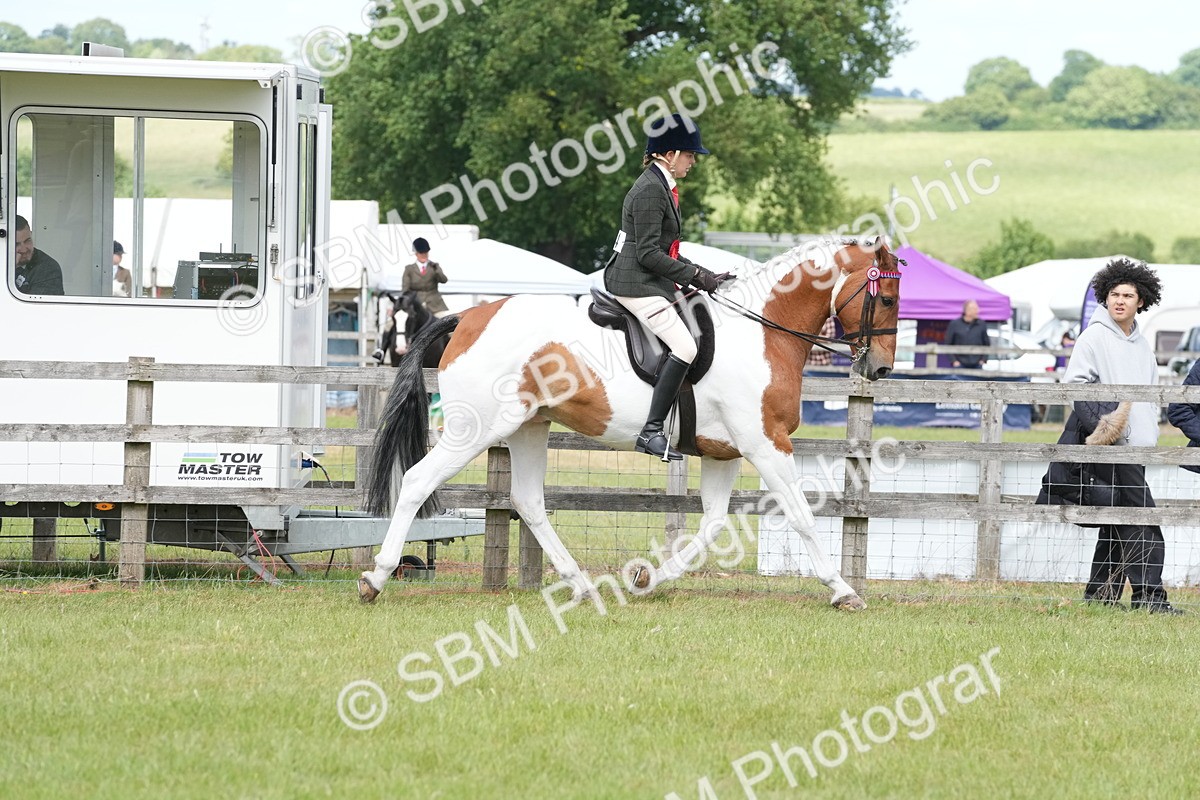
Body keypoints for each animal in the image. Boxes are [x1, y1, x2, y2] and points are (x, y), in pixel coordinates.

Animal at [360, 238, 903, 609]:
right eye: (888, 298)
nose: (880, 369)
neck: (762, 332)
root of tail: (471, 316)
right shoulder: (765, 443)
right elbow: (803, 516)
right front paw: (842, 590)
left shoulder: (725, 451)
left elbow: (710, 526)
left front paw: (647, 579)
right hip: (475, 431)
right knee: (416, 481)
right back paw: (376, 577)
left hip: (528, 427)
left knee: (528, 501)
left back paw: (580, 585)